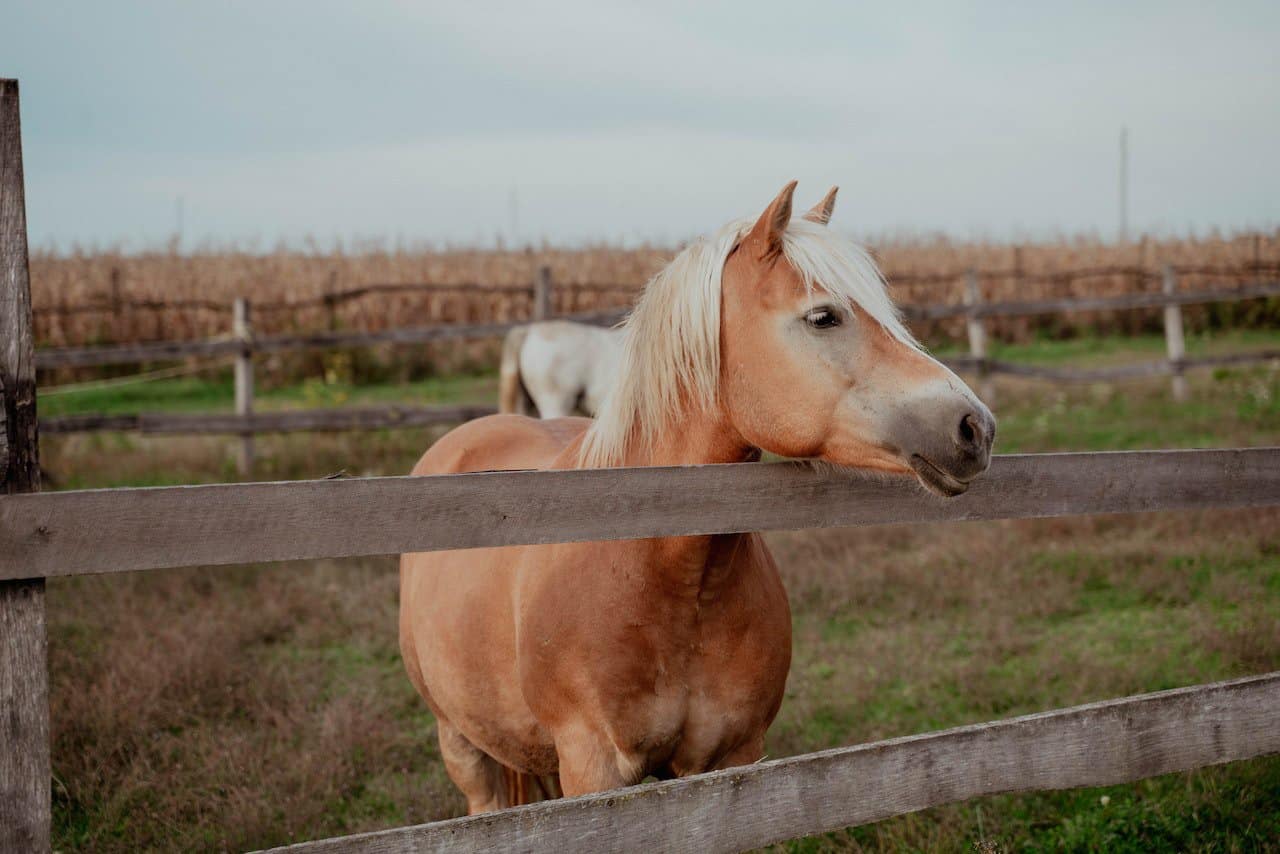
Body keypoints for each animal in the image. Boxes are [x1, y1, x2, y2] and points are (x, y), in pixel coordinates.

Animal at [400, 182, 995, 813]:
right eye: (823, 316)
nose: (976, 427)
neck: (665, 579)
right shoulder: (593, 769)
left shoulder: (732, 757)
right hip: (460, 744)